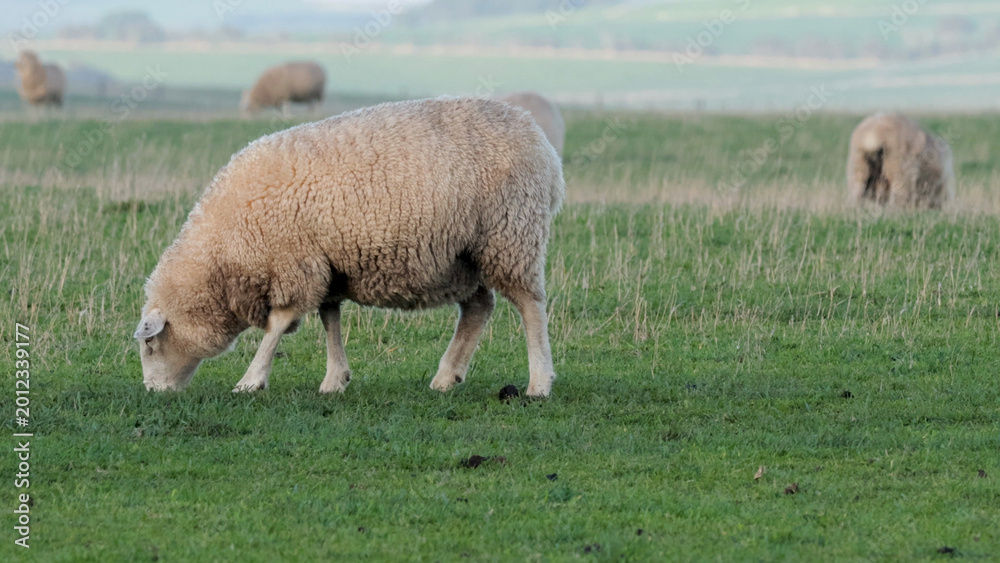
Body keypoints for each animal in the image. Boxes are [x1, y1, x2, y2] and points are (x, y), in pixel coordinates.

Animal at [134, 96, 565, 398]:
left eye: (150, 345)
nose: (153, 392)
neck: (223, 254)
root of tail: (543, 146)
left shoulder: (296, 263)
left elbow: (279, 324)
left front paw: (251, 380)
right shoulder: (326, 263)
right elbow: (330, 317)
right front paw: (334, 379)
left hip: (511, 235)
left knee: (530, 306)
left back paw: (539, 383)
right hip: (460, 256)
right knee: (479, 307)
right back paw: (447, 375)